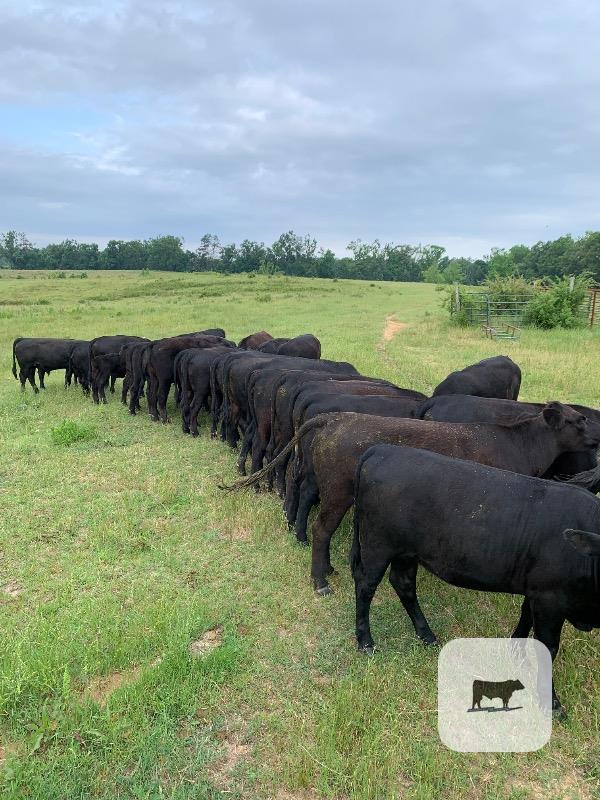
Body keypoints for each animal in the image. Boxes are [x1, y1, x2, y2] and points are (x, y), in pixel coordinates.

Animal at [227, 403, 597, 594]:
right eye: (578, 420)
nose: (598, 436)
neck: (519, 445)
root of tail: (335, 417)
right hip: (337, 492)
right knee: (321, 530)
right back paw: (320, 581)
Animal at [351, 444, 600, 715]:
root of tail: (383, 449)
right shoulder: (550, 599)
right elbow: (549, 647)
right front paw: (552, 703)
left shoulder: (536, 591)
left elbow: (525, 615)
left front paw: (516, 652)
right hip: (378, 545)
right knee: (365, 586)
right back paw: (365, 641)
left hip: (406, 552)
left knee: (403, 584)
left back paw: (427, 635)